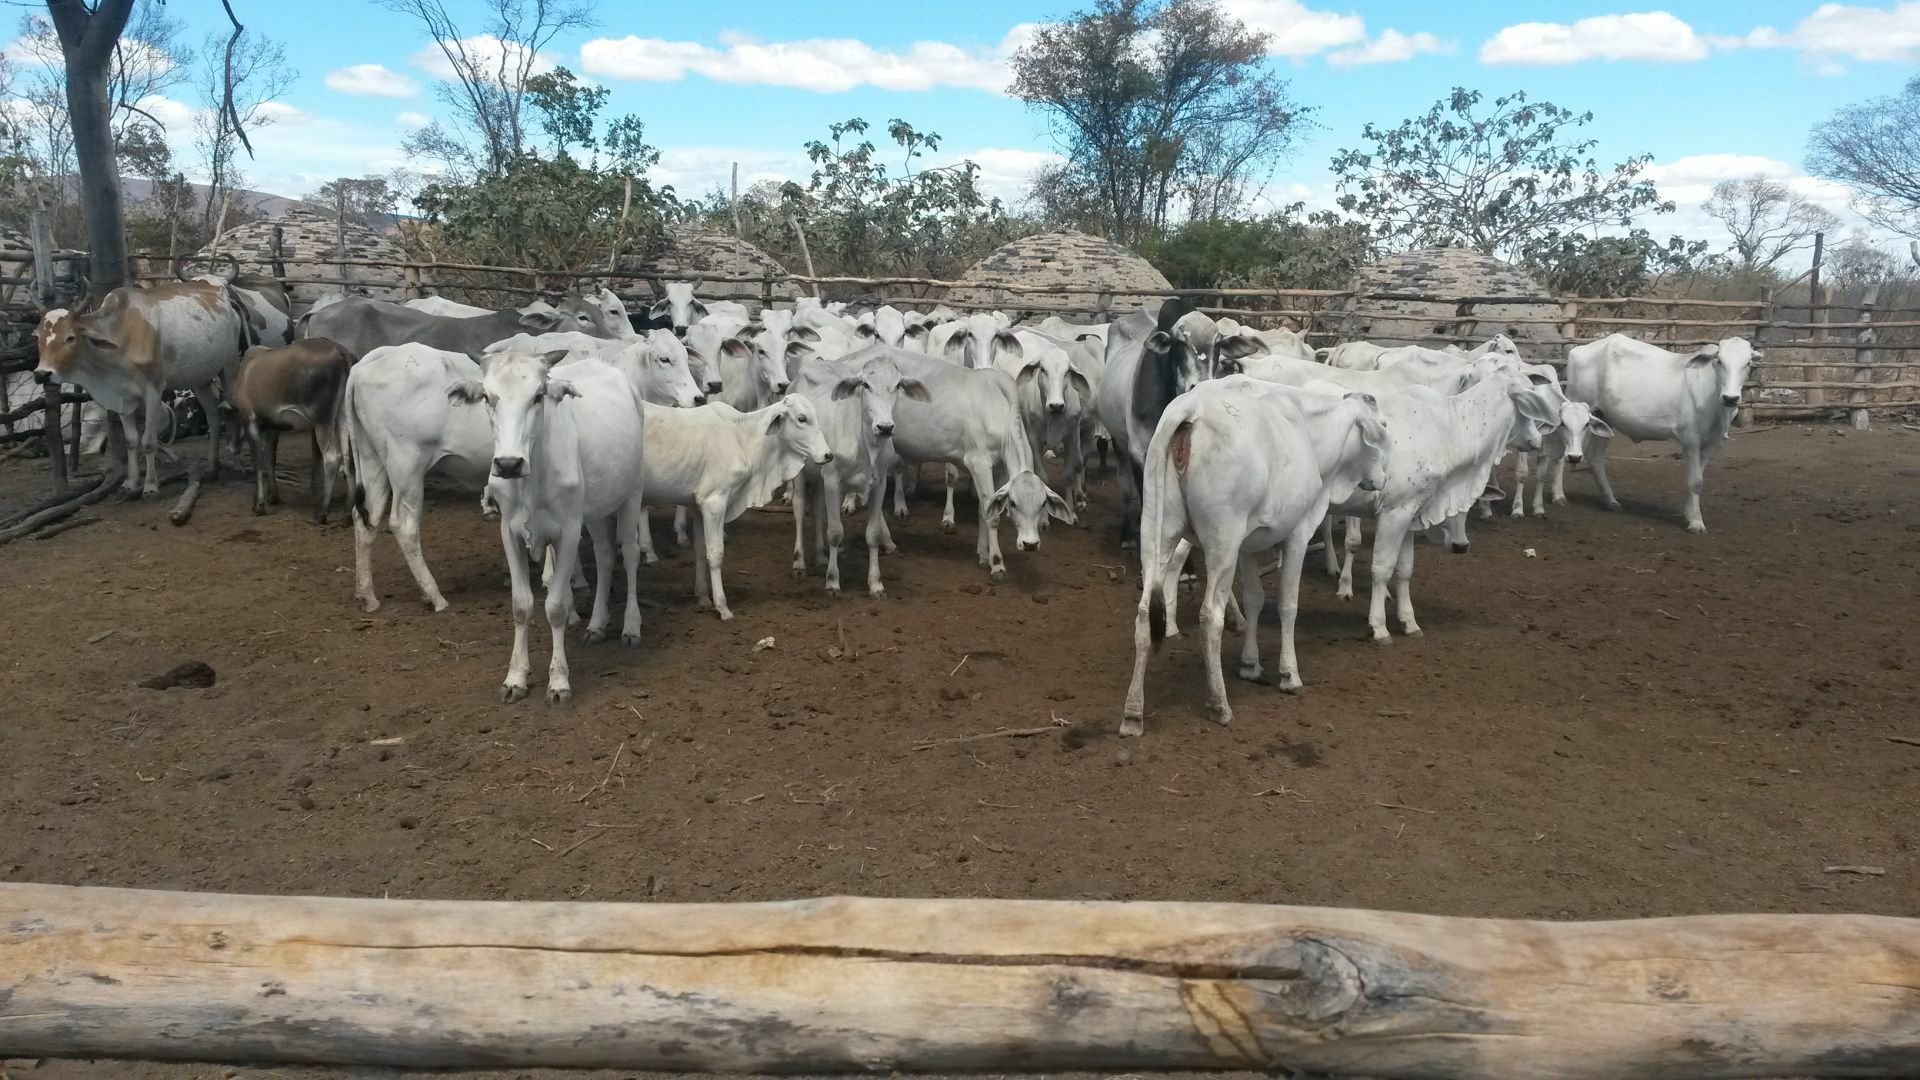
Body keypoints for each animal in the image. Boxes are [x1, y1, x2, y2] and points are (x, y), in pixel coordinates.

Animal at [35, 276, 251, 495]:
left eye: (70, 337)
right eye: (37, 336)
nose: (42, 374)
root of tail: (227, 299)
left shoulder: (153, 390)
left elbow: (148, 441)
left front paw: (150, 485)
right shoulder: (121, 395)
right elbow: (131, 441)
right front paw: (130, 483)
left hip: (229, 366)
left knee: (232, 410)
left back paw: (237, 463)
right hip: (201, 379)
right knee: (213, 417)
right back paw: (212, 468)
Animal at [228, 338, 357, 518]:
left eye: (229, 419)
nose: (231, 448)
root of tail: (340, 351)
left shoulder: (250, 419)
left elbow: (258, 461)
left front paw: (259, 504)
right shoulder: (272, 426)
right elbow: (269, 457)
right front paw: (272, 495)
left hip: (322, 420)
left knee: (332, 457)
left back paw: (322, 511)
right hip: (342, 416)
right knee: (347, 456)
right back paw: (347, 509)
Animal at [645, 393, 833, 614]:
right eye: (802, 418)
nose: (828, 455)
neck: (741, 437)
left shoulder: (697, 506)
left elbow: (700, 550)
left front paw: (702, 597)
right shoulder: (714, 502)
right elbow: (716, 553)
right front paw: (722, 606)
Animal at [1121, 376, 1390, 730]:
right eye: (1382, 426)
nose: (1384, 478)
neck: (1309, 433)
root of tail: (1189, 409)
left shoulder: (1248, 544)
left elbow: (1255, 599)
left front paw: (1250, 664)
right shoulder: (1297, 533)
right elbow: (1288, 605)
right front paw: (1289, 674)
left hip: (1158, 529)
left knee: (1142, 612)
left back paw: (1133, 713)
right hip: (1222, 540)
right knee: (1209, 616)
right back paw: (1219, 705)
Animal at [1559, 330, 1758, 526]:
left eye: (1748, 363)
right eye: (1719, 361)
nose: (1730, 398)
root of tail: (1579, 349)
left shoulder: (1713, 443)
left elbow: (1699, 480)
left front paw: (1689, 513)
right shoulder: (1690, 438)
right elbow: (1695, 481)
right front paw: (1696, 522)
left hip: (1603, 417)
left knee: (1595, 456)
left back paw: (1610, 501)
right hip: (1574, 408)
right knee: (1562, 453)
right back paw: (1559, 496)